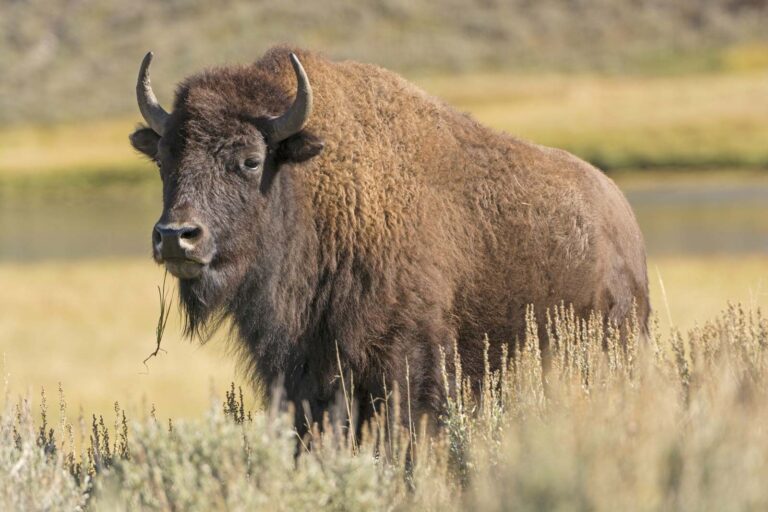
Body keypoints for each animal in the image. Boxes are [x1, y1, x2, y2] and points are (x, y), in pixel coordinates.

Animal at [130, 46, 649, 432]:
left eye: (251, 160)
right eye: (164, 159)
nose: (177, 236)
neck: (317, 190)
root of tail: (623, 219)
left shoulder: (404, 368)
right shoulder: (302, 378)